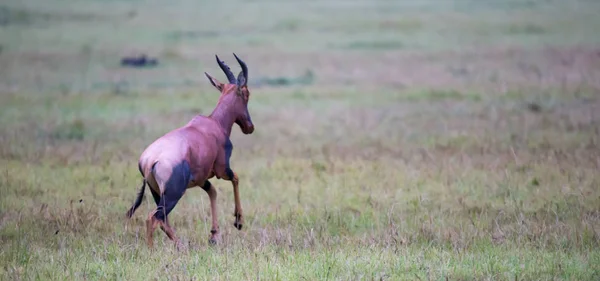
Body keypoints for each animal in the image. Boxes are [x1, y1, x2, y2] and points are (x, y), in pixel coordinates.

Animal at [126, 52, 255, 247]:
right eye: (246, 93)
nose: (250, 127)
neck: (214, 123)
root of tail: (149, 161)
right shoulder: (222, 169)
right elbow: (236, 179)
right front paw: (238, 221)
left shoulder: (201, 179)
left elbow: (213, 192)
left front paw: (214, 236)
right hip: (173, 194)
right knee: (153, 218)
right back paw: (152, 250)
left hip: (157, 192)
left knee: (163, 220)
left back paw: (180, 245)